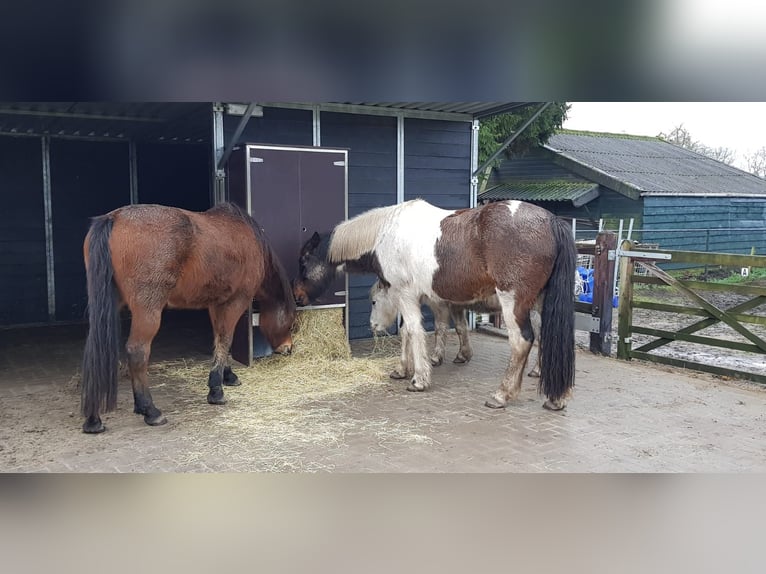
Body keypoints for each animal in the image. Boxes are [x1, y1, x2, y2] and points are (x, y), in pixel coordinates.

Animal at [80, 205, 296, 434]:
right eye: (291, 322)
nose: (288, 348)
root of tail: (115, 217)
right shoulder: (235, 301)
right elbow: (225, 339)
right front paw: (216, 390)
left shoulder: (215, 304)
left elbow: (219, 340)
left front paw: (227, 376)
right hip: (147, 311)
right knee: (137, 352)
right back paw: (150, 410)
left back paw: (94, 419)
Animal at [298, 200, 576, 412]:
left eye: (303, 261)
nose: (297, 297)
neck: (384, 234)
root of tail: (552, 221)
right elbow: (411, 333)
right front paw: (403, 369)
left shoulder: (407, 295)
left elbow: (413, 332)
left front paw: (419, 378)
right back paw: (556, 398)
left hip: (514, 303)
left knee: (522, 341)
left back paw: (502, 394)